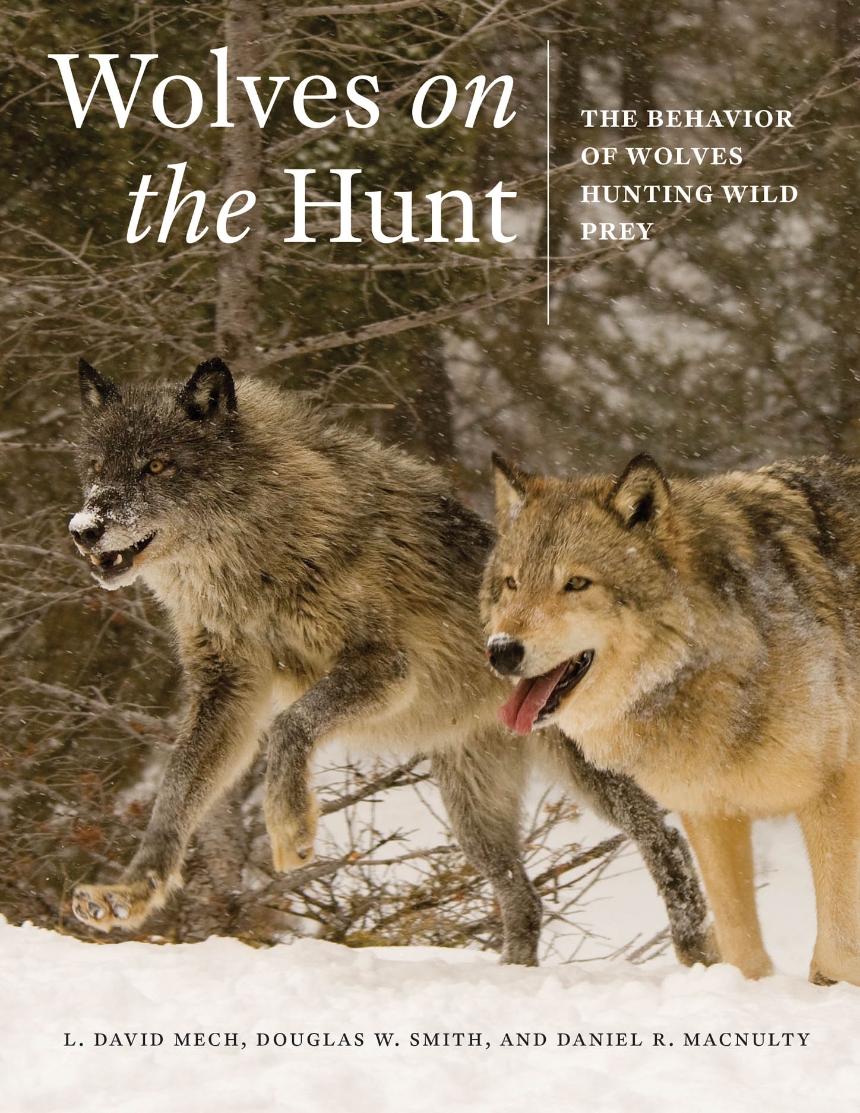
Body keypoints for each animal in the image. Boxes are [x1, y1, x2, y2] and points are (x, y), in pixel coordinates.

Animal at [67, 358, 712, 966]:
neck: (254, 564)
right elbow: (173, 797)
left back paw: (697, 953)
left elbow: (291, 726)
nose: (83, 529)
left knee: (667, 839)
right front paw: (127, 897)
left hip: (591, 777)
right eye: (96, 469)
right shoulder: (227, 694)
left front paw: (291, 827)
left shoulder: (386, 667)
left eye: (156, 467)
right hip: (473, 816)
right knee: (524, 899)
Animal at [482, 451, 860, 984]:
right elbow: (742, 950)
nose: (501, 650)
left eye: (576, 583)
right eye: (512, 583)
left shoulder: (835, 787)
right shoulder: (710, 809)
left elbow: (838, 948)